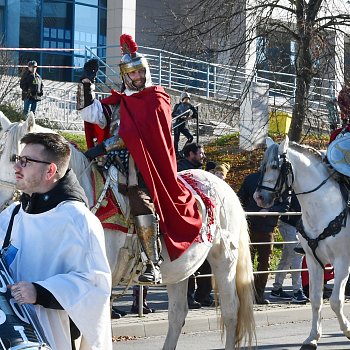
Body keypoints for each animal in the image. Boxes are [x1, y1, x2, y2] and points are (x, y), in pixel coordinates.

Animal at [0, 113, 256, 350]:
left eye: (16, 159)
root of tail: (221, 185)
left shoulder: (99, 282)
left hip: (224, 259)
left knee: (231, 310)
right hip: (181, 268)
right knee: (177, 314)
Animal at [254, 137, 350, 350]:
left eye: (275, 166)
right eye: (262, 166)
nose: (259, 197)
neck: (324, 205)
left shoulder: (342, 262)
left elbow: (336, 301)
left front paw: (347, 330)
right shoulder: (314, 262)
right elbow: (315, 300)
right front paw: (312, 338)